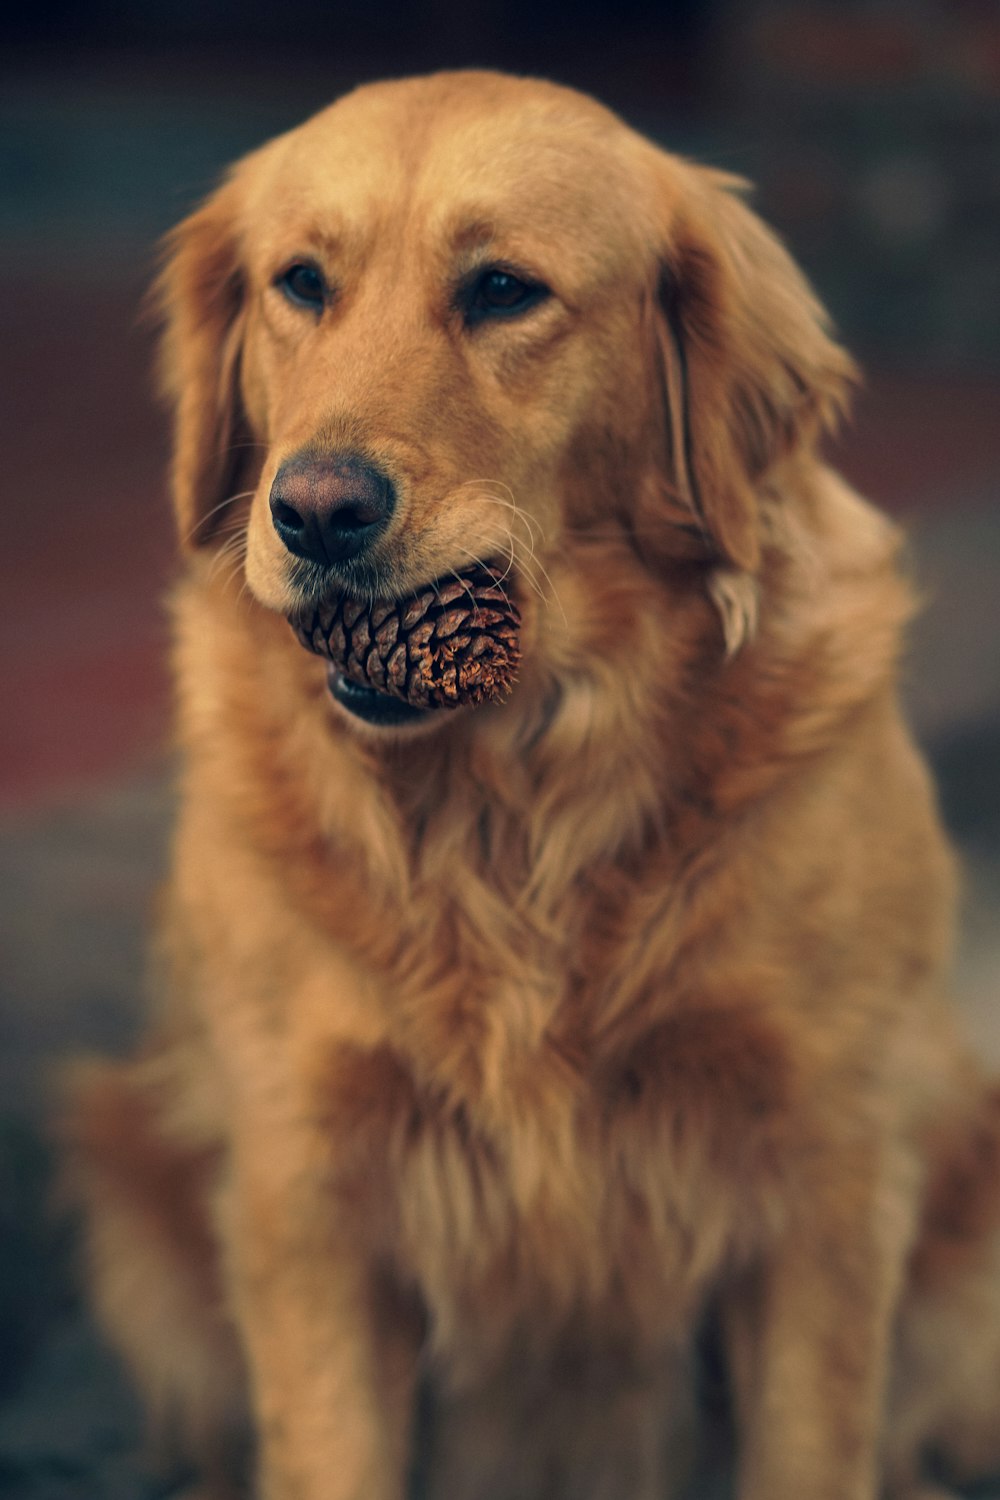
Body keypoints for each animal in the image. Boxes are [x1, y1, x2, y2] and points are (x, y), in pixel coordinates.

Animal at [60, 73, 1000, 1500]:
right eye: (300, 283)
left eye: (503, 290)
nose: (315, 510)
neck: (513, 795)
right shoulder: (308, 1183)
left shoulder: (822, 1173)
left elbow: (810, 1441)